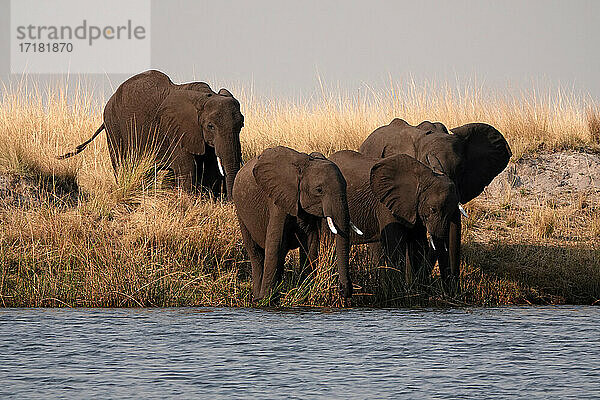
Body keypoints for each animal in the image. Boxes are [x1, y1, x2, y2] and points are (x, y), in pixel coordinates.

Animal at [56, 70, 244, 200]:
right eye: (210, 126)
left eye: (241, 125)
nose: (230, 201)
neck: (204, 97)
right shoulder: (176, 130)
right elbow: (187, 168)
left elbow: (210, 169)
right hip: (113, 125)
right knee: (121, 164)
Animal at [232, 146, 358, 300]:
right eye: (319, 190)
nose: (343, 291)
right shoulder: (278, 200)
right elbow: (275, 243)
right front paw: (266, 300)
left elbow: (310, 244)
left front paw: (305, 294)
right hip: (240, 212)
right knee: (256, 254)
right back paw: (257, 298)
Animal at [328, 149, 460, 282]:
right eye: (433, 209)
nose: (450, 282)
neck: (422, 176)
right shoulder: (387, 206)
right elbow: (395, 248)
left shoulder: (413, 208)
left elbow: (416, 246)